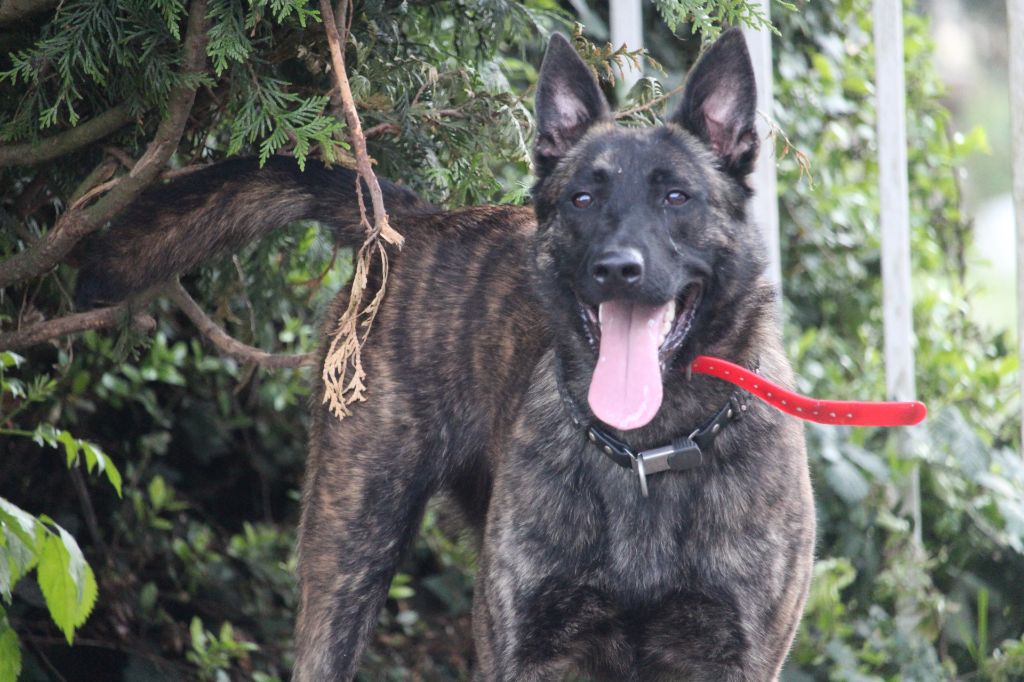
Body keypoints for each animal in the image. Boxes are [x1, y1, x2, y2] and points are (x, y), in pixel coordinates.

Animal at [76, 28, 815, 681]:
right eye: (582, 198)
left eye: (676, 197)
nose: (616, 270)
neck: (647, 451)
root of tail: (411, 222)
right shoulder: (522, 650)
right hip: (349, 554)